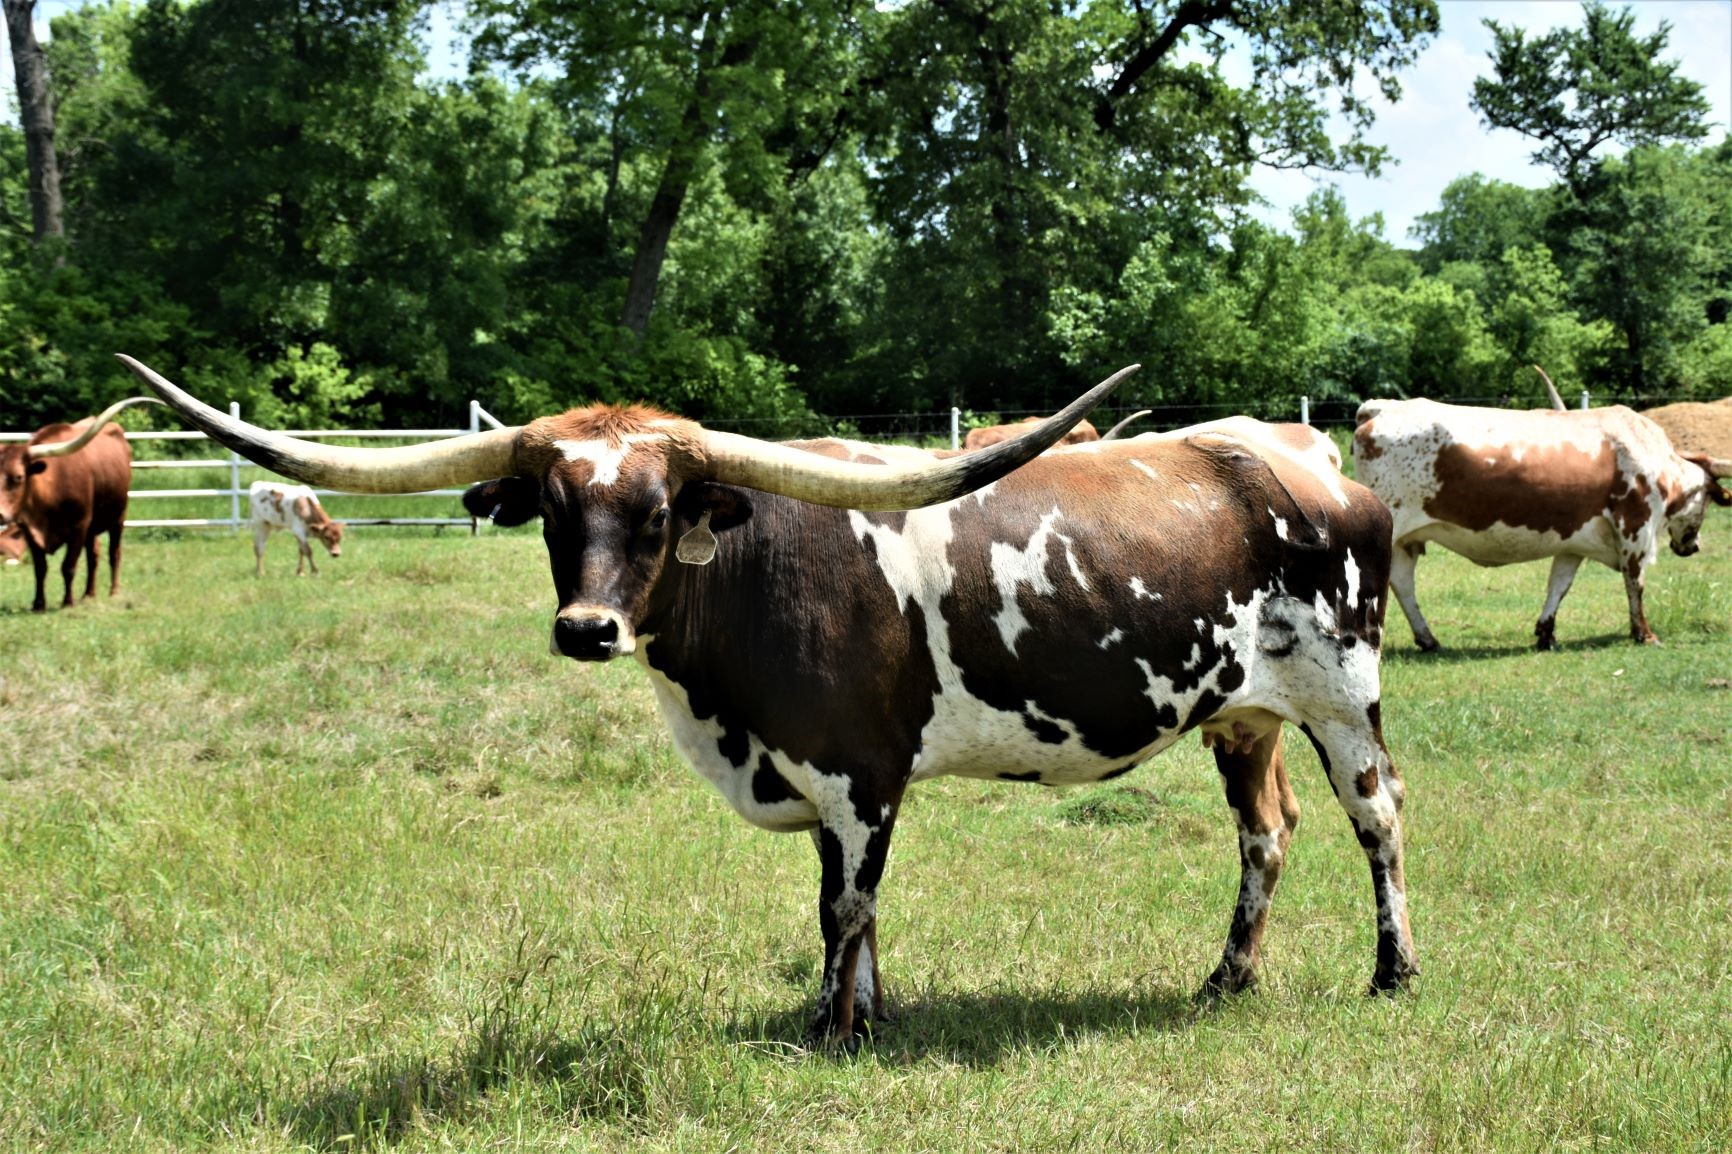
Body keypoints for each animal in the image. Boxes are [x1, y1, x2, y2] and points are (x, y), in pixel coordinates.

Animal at [0, 398, 157, 612]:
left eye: (18, 477)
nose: (0, 514)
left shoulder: (79, 527)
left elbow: (68, 566)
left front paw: (68, 602)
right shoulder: (29, 529)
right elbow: (40, 568)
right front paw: (38, 604)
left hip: (118, 516)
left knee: (114, 553)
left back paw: (114, 592)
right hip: (93, 528)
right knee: (93, 556)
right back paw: (89, 594)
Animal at [121, 354, 1417, 1052]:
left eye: (657, 514)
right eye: (552, 513)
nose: (586, 629)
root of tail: (1306, 466)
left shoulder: (859, 772)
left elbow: (847, 904)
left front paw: (835, 1029)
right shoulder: (815, 770)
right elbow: (843, 902)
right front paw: (864, 1012)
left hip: (1343, 693)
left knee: (1377, 816)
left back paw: (1394, 972)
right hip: (1241, 711)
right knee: (1266, 830)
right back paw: (1227, 977)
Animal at [1352, 398, 1732, 650]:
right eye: (1708, 501)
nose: (1693, 546)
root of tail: (1380, 408)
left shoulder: (1574, 543)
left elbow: (1559, 585)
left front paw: (1546, 633)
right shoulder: (1635, 529)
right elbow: (1635, 583)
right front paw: (1644, 633)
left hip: (1403, 539)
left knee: (1402, 582)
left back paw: (1428, 638)